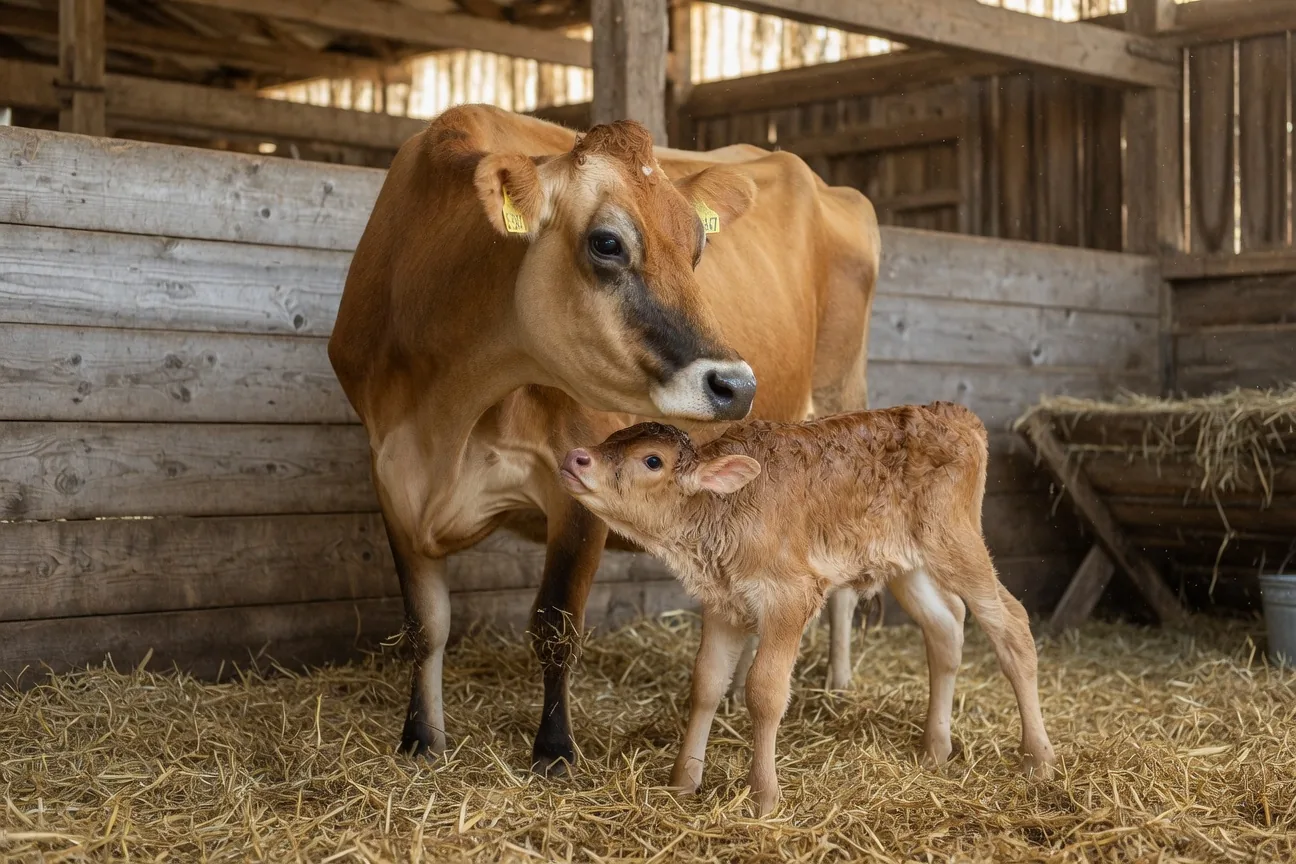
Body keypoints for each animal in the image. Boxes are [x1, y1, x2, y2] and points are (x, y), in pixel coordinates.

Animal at [327, 104, 879, 774]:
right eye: (608, 242)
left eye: (698, 247)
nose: (738, 384)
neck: (444, 418)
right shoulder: (390, 475)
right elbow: (426, 623)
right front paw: (420, 737)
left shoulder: (581, 481)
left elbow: (555, 623)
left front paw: (554, 750)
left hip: (841, 398)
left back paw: (838, 683)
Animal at [558, 406, 1058, 815]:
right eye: (612, 437)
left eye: (652, 461)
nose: (576, 457)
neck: (720, 517)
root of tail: (956, 414)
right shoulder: (724, 604)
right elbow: (705, 684)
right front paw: (682, 782)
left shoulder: (790, 595)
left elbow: (764, 691)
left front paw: (763, 796)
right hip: (906, 561)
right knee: (945, 626)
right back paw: (935, 749)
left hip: (955, 540)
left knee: (1011, 623)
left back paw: (1038, 758)